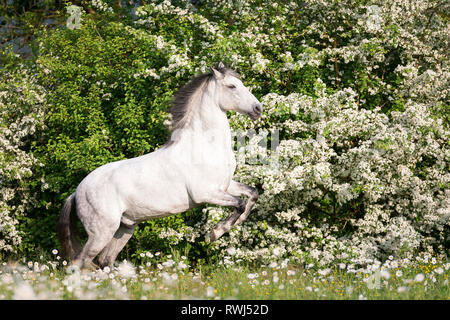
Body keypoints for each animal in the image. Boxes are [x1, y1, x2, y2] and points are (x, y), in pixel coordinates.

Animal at [56, 62, 262, 268]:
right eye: (231, 86)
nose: (258, 108)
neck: (204, 145)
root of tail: (76, 192)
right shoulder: (207, 193)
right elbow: (240, 203)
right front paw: (215, 233)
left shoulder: (225, 186)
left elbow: (252, 194)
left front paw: (232, 225)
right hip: (101, 232)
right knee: (81, 261)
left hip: (124, 228)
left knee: (105, 260)